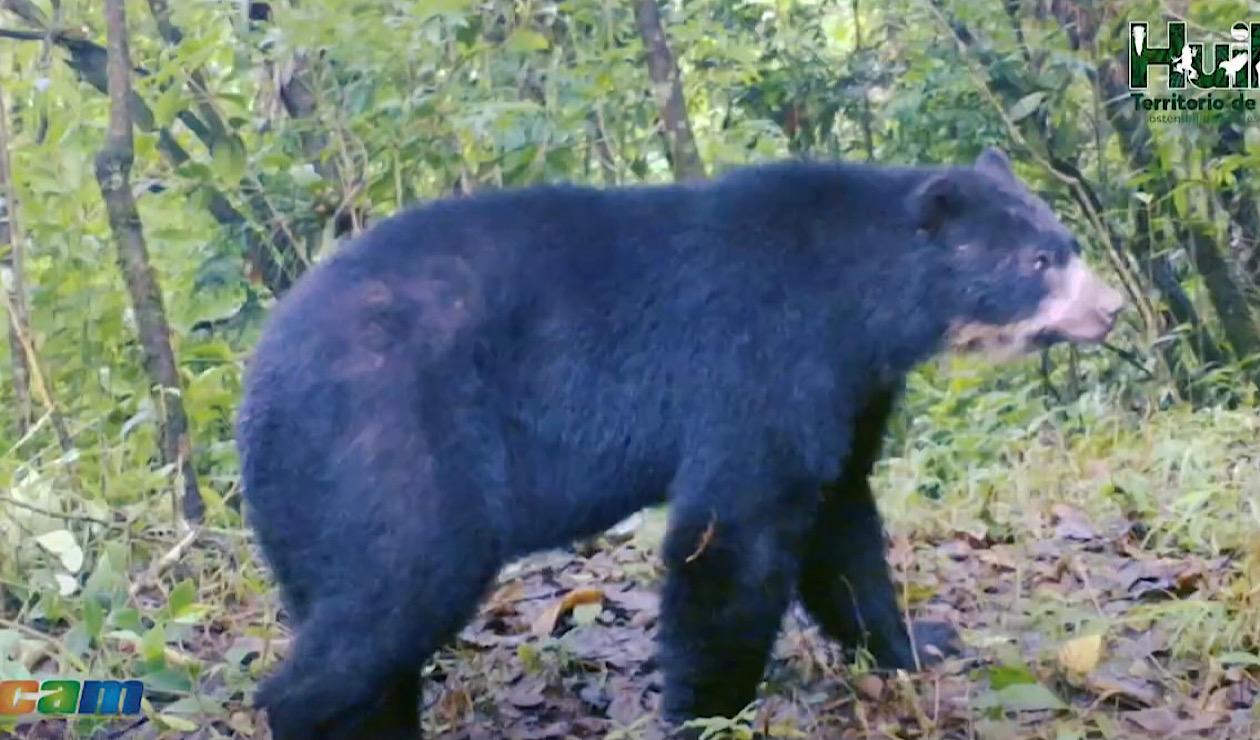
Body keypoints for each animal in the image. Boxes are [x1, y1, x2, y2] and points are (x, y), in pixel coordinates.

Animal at [237, 148, 1125, 739]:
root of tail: (259, 384)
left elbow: (840, 516)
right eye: (1038, 260)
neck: (860, 298)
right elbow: (735, 532)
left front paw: (918, 642)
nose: (1111, 309)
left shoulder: (848, 384)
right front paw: (712, 712)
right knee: (392, 595)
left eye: (1066, 242)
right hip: (390, 443)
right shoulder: (761, 353)